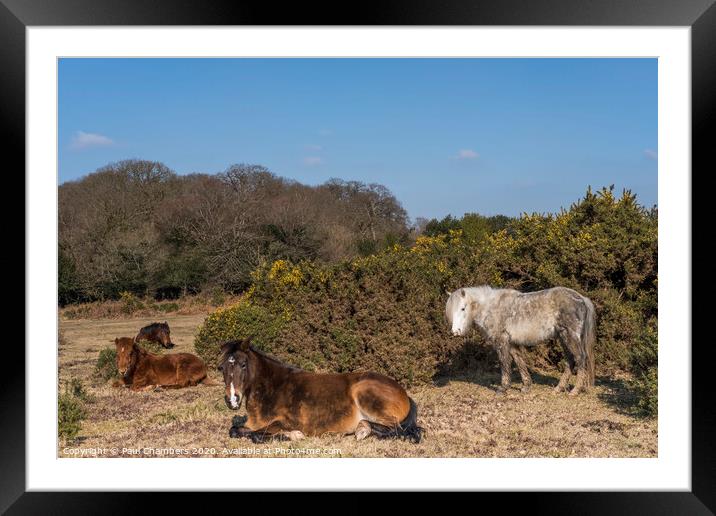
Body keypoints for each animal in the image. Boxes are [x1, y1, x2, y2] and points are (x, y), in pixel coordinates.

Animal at [215, 338, 422, 444]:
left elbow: (258, 435)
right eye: (221, 367)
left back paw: (362, 430)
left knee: (399, 429)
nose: (232, 400)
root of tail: (403, 392)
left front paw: (294, 435)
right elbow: (234, 431)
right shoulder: (249, 425)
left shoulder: (282, 422)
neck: (272, 389)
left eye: (243, 364)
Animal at [444, 286, 596, 396]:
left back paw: (575, 391)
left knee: (580, 358)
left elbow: (504, 363)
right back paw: (558, 388)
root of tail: (582, 298)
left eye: (463, 308)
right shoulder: (512, 343)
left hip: (570, 336)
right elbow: (519, 361)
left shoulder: (502, 341)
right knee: (570, 360)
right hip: (563, 337)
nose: (455, 331)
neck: (492, 307)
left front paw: (503, 388)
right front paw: (526, 386)